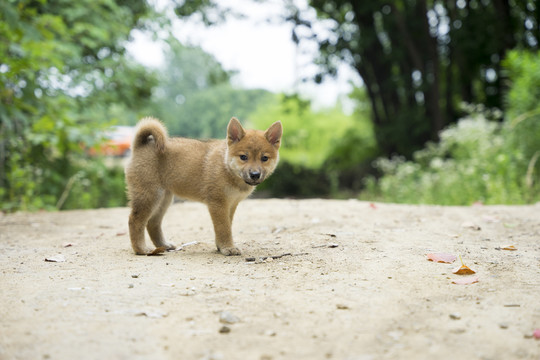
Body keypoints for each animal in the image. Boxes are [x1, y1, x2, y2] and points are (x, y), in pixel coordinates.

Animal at [125, 117, 282, 256]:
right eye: (243, 157)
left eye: (264, 158)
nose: (255, 174)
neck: (226, 167)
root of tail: (141, 146)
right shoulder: (217, 203)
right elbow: (224, 228)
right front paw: (228, 248)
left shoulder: (231, 204)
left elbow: (226, 226)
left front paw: (221, 246)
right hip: (149, 196)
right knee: (135, 220)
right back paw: (141, 249)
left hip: (163, 199)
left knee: (152, 223)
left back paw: (163, 245)